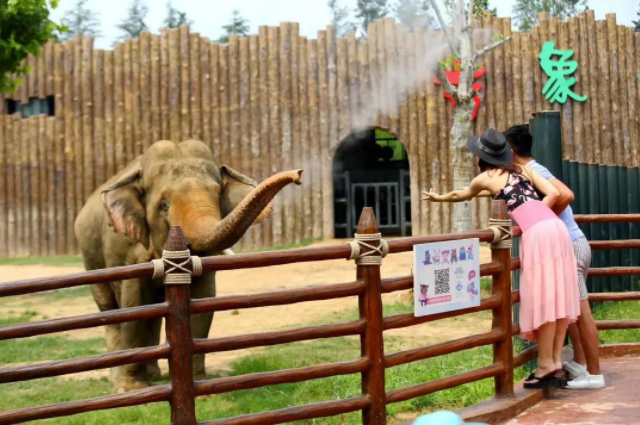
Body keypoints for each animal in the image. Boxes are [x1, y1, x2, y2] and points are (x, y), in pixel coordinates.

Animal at [75, 139, 302, 390]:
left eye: (218, 194)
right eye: (164, 205)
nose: (299, 174)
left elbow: (202, 299)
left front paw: (201, 385)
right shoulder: (124, 248)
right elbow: (133, 303)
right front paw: (131, 388)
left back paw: (153, 374)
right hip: (91, 259)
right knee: (109, 309)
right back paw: (119, 378)